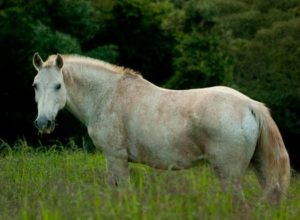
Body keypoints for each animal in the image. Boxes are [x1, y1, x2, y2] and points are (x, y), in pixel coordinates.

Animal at [31, 52, 290, 203]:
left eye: (58, 85)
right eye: (35, 85)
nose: (43, 123)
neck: (107, 96)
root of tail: (251, 105)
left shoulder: (116, 158)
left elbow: (123, 193)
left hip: (229, 175)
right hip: (259, 168)